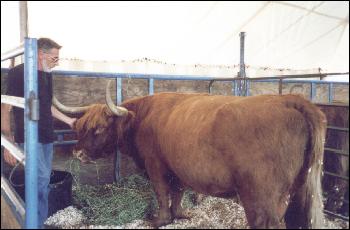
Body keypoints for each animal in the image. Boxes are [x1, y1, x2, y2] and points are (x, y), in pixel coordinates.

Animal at [53, 81, 326, 228]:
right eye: (79, 127)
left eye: (98, 128)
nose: (77, 152)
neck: (142, 118)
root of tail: (290, 100)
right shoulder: (178, 166)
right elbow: (178, 192)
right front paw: (180, 214)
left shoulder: (155, 165)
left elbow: (162, 193)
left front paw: (160, 219)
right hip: (290, 191)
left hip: (260, 195)